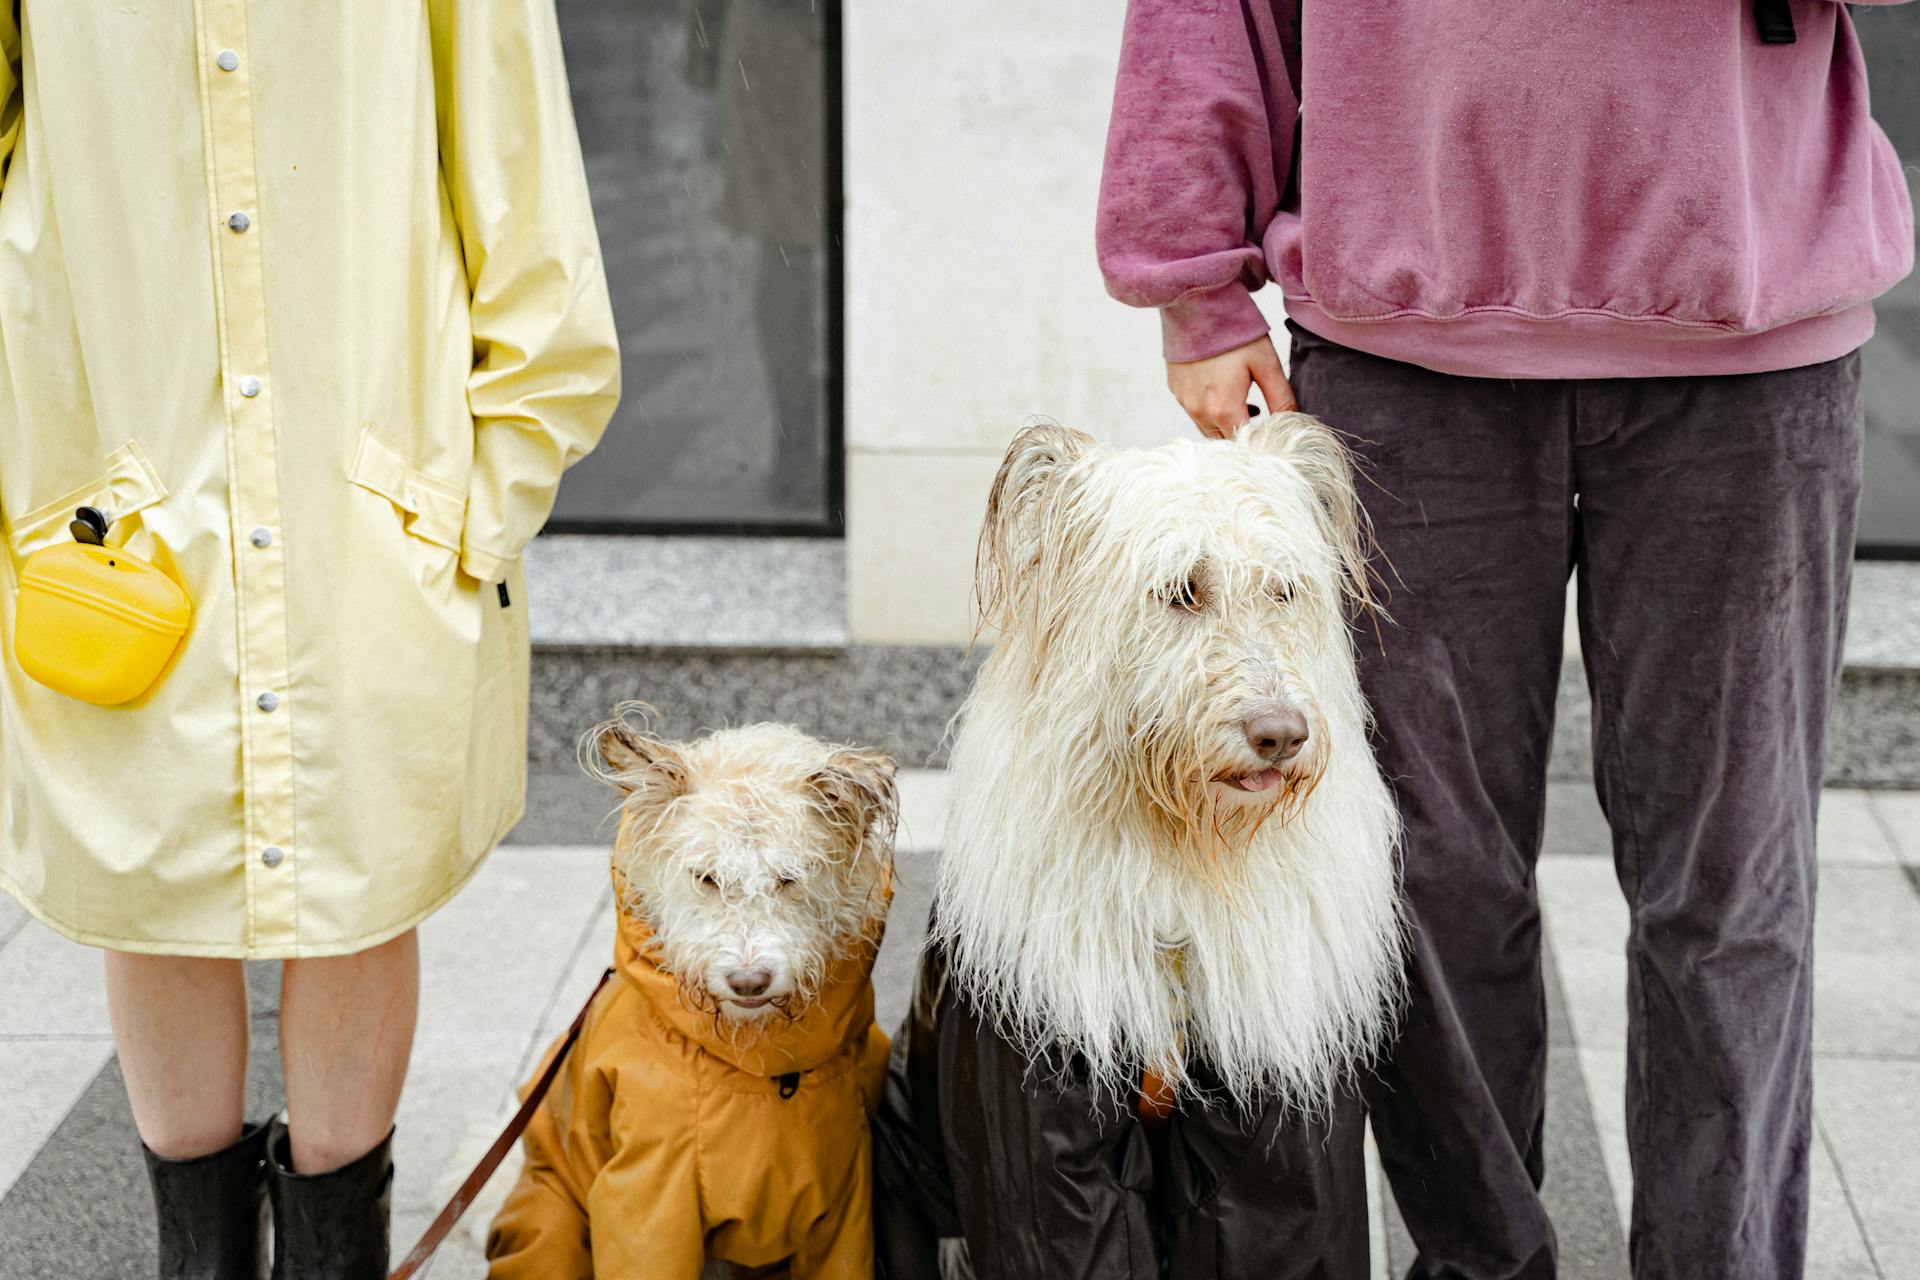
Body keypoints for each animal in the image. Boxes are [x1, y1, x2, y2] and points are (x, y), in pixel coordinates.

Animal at [487, 710, 890, 1280]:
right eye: (706, 876)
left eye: (789, 877)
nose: (749, 981)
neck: (752, 1067)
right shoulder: (649, 1193)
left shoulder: (847, 1194)